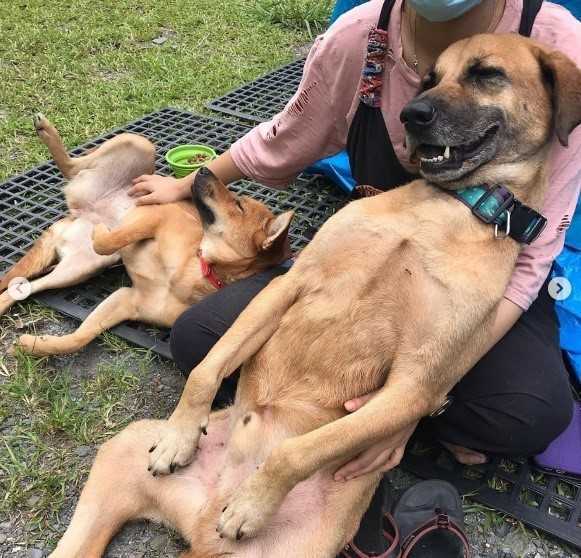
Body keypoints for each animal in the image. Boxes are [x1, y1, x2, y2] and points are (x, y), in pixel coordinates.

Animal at [0, 116, 290, 356]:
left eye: (238, 204)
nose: (204, 170)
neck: (197, 271)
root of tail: (82, 211)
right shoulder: (156, 216)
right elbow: (112, 239)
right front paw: (105, 232)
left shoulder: (127, 300)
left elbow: (78, 338)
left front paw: (33, 346)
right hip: (139, 143)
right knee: (72, 166)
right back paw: (47, 131)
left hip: (77, 269)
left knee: (20, 289)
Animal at [49, 35, 580, 558]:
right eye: (430, 78)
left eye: (487, 73)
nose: (412, 114)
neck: (448, 210)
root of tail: (201, 523)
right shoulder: (287, 287)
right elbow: (204, 372)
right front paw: (180, 436)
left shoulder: (415, 385)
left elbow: (297, 451)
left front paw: (252, 503)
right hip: (118, 458)